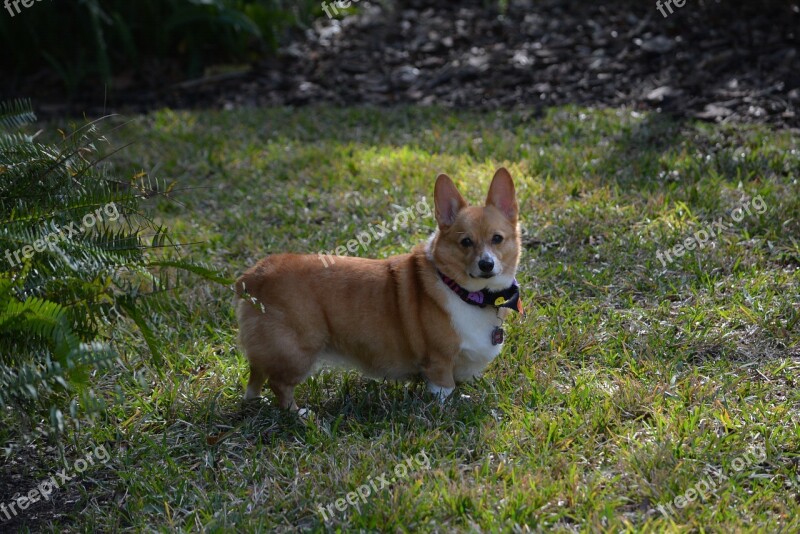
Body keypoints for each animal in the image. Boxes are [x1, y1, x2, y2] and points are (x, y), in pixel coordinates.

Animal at [234, 168, 520, 410]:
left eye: (497, 238)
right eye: (465, 242)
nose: (486, 264)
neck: (465, 292)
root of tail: (254, 275)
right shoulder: (438, 362)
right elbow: (445, 390)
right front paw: (448, 408)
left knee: (256, 374)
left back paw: (255, 400)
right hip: (298, 350)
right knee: (279, 384)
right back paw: (299, 414)